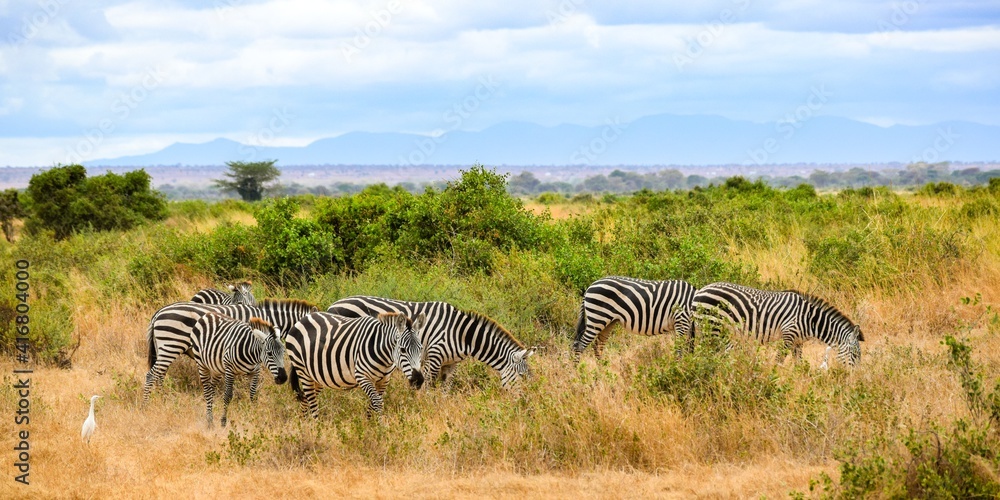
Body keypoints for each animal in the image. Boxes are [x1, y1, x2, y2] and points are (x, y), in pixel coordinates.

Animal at [143, 299, 318, 403]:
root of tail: (159, 312)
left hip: (164, 348)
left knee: (159, 375)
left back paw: (163, 399)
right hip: (170, 345)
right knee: (152, 375)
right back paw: (149, 404)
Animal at [285, 311, 426, 418]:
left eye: (421, 348)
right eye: (402, 350)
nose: (418, 380)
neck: (385, 357)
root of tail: (303, 318)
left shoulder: (384, 379)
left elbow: (374, 402)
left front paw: (369, 425)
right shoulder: (362, 376)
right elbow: (378, 402)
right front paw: (380, 428)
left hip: (317, 376)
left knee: (305, 400)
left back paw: (304, 425)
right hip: (303, 371)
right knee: (312, 401)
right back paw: (316, 426)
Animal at [327, 296, 534, 389]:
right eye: (522, 377)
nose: (527, 404)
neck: (461, 334)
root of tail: (333, 304)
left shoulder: (451, 364)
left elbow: (446, 388)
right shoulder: (434, 357)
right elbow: (427, 385)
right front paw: (425, 406)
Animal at [690, 282, 864, 366]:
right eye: (855, 355)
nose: (853, 378)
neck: (810, 320)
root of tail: (699, 292)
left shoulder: (798, 342)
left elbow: (798, 363)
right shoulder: (788, 336)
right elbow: (779, 361)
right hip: (712, 326)